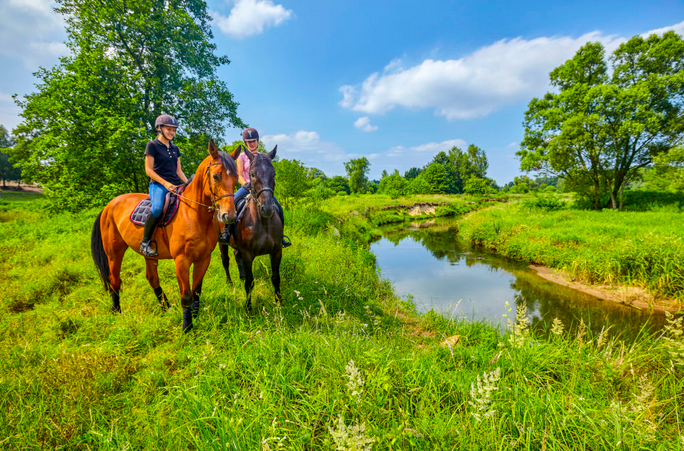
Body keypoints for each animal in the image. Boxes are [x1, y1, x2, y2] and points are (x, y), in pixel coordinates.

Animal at [91, 141, 240, 332]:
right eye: (215, 176)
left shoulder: (203, 258)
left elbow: (196, 291)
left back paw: (166, 307)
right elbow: (186, 295)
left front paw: (195, 316)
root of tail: (108, 205)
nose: (229, 216)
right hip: (114, 252)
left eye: (236, 178)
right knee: (114, 279)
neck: (194, 214)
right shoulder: (181, 261)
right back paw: (116, 310)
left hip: (149, 254)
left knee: (152, 278)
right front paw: (187, 327)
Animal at [220, 145, 282, 310]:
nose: (267, 208)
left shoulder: (276, 251)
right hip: (221, 242)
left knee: (236, 255)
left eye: (273, 173)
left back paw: (240, 276)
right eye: (252, 174)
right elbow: (250, 282)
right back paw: (229, 282)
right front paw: (248, 308)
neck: (264, 222)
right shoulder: (248, 254)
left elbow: (276, 278)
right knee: (225, 260)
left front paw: (279, 303)